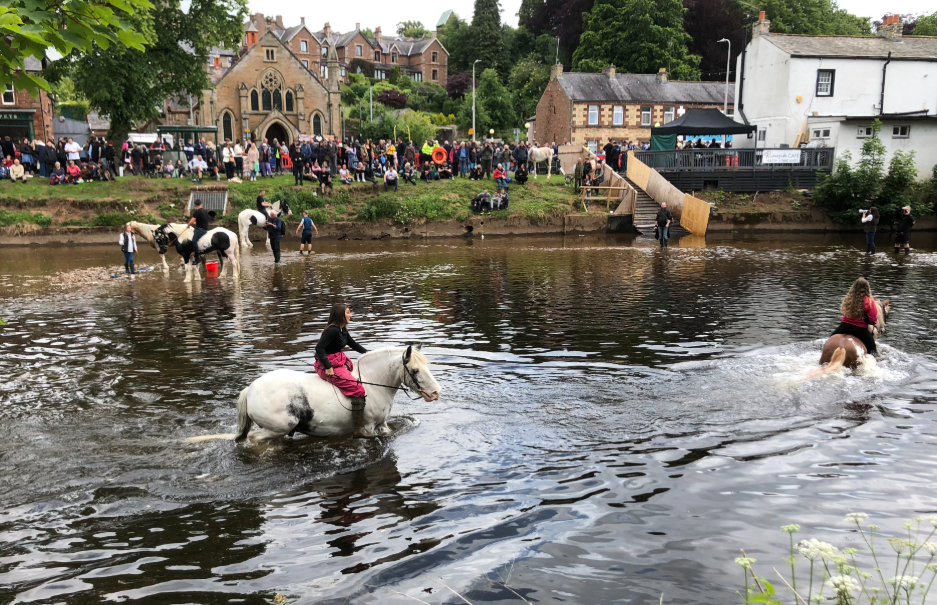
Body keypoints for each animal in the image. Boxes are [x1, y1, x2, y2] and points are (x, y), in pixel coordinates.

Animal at [187, 346, 441, 443]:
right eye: (415, 370)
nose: (436, 393)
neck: (373, 381)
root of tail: (250, 389)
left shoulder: (382, 426)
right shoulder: (369, 427)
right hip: (279, 426)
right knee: (255, 439)